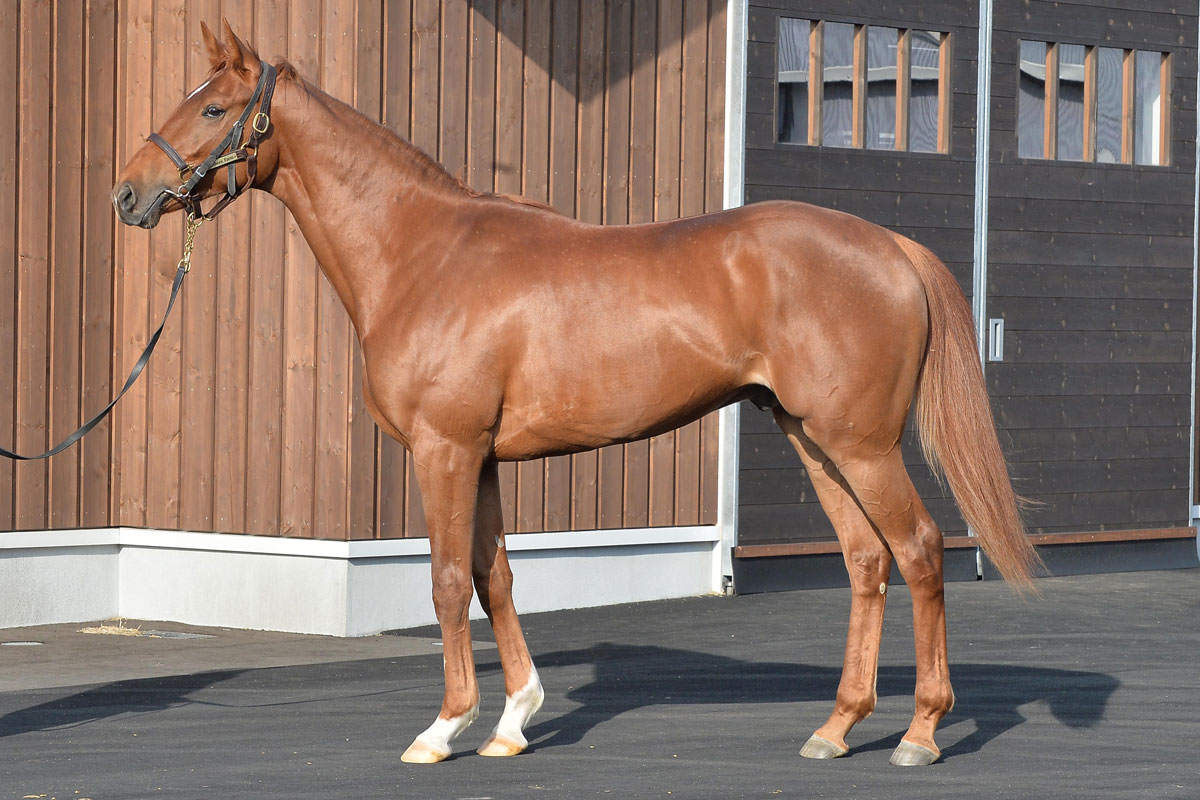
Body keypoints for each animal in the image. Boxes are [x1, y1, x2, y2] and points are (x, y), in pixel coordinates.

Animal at [112, 21, 1040, 768]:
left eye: (210, 109)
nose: (129, 193)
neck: (420, 254)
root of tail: (890, 247)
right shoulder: (482, 458)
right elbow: (494, 578)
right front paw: (513, 721)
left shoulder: (444, 450)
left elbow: (446, 581)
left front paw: (444, 728)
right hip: (815, 441)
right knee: (865, 562)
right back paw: (837, 728)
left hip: (862, 445)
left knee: (919, 552)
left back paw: (921, 733)